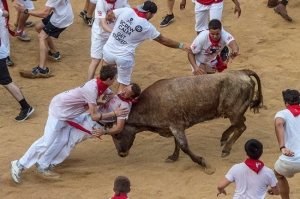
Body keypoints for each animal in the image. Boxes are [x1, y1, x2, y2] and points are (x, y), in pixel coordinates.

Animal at [110, 69, 262, 169]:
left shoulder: (176, 126)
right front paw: (173, 157)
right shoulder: (174, 127)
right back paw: (224, 138)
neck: (150, 104)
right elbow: (177, 143)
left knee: (241, 126)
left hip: (233, 112)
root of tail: (243, 72)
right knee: (241, 123)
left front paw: (201, 161)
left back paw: (226, 149)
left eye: (117, 134)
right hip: (234, 112)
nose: (121, 153)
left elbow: (183, 146)